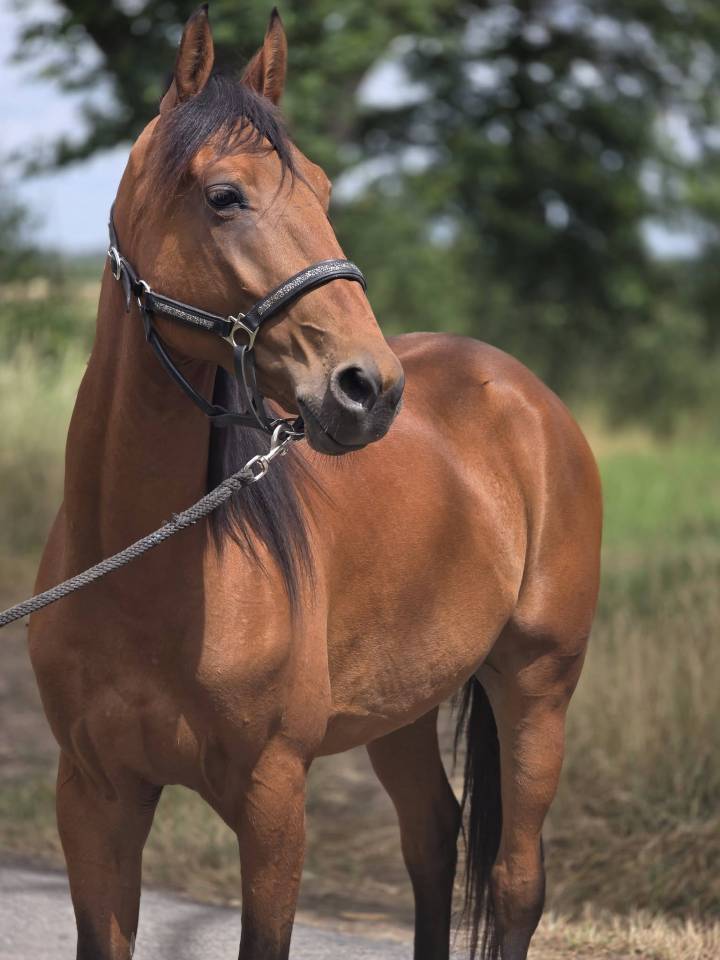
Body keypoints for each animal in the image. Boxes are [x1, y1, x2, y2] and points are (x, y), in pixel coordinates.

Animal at [27, 7, 602, 960]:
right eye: (225, 196)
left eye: (325, 193)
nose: (369, 388)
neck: (149, 577)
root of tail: (527, 397)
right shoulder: (94, 800)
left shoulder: (273, 803)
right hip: (406, 709)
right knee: (433, 840)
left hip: (537, 690)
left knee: (518, 884)